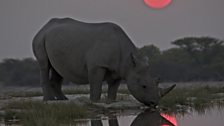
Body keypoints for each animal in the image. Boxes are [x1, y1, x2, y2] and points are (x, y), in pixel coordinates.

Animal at [32, 17, 175, 106]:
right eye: (144, 86)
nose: (154, 103)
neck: (129, 62)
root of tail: (45, 26)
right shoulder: (97, 66)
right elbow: (96, 88)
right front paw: (95, 102)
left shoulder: (120, 70)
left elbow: (113, 91)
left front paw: (110, 102)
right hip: (40, 38)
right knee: (44, 65)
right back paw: (48, 101)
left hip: (54, 40)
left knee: (58, 69)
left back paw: (63, 100)